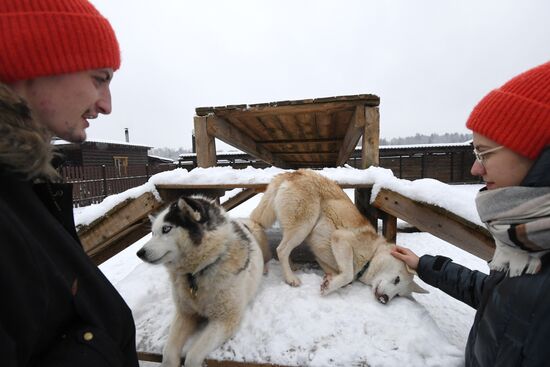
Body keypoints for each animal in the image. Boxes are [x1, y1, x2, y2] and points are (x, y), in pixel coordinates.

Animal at [250, 170, 426, 304]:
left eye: (398, 295)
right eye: (397, 280)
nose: (385, 299)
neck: (372, 255)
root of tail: (293, 173)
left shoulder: (323, 256)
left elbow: (339, 274)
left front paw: (329, 280)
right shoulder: (341, 238)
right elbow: (348, 275)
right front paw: (329, 286)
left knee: (284, 250)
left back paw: (292, 267)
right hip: (304, 225)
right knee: (281, 249)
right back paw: (290, 278)